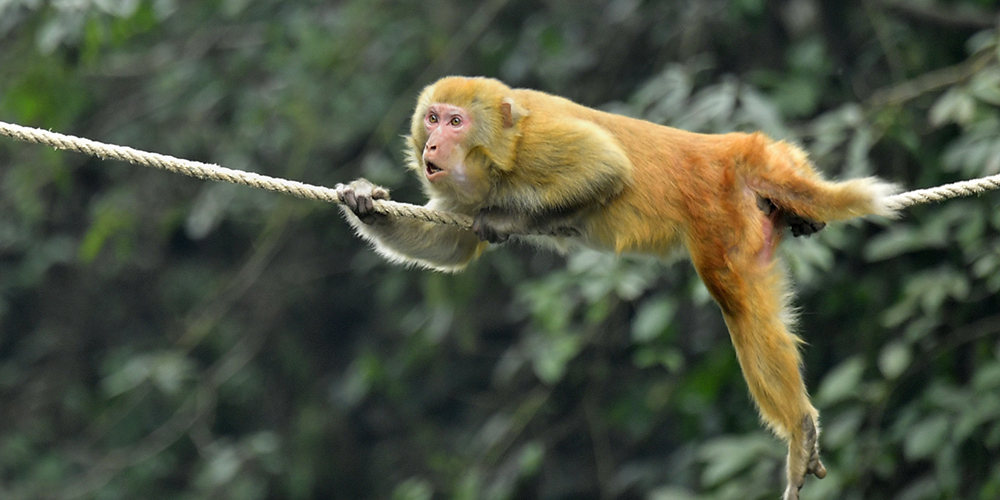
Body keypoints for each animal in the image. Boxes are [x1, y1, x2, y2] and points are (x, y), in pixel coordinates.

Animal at [334, 76, 900, 498]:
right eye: (432, 118)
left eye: (457, 122)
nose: (432, 143)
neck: (499, 151)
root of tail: (725, 150)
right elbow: (451, 247)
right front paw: (364, 200)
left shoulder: (537, 147)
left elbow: (604, 167)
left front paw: (506, 219)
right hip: (773, 172)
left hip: (719, 215)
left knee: (736, 300)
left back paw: (799, 426)